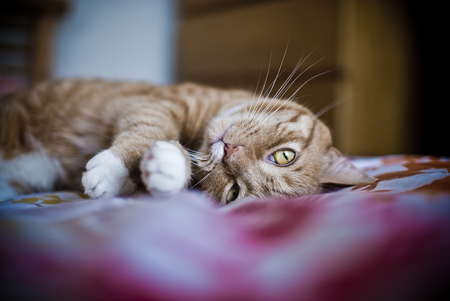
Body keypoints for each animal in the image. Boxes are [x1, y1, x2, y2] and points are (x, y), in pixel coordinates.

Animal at [0, 78, 374, 203]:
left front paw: (168, 167)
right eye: (284, 156)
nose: (229, 152)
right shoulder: (159, 103)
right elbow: (149, 128)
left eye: (234, 191)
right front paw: (113, 166)